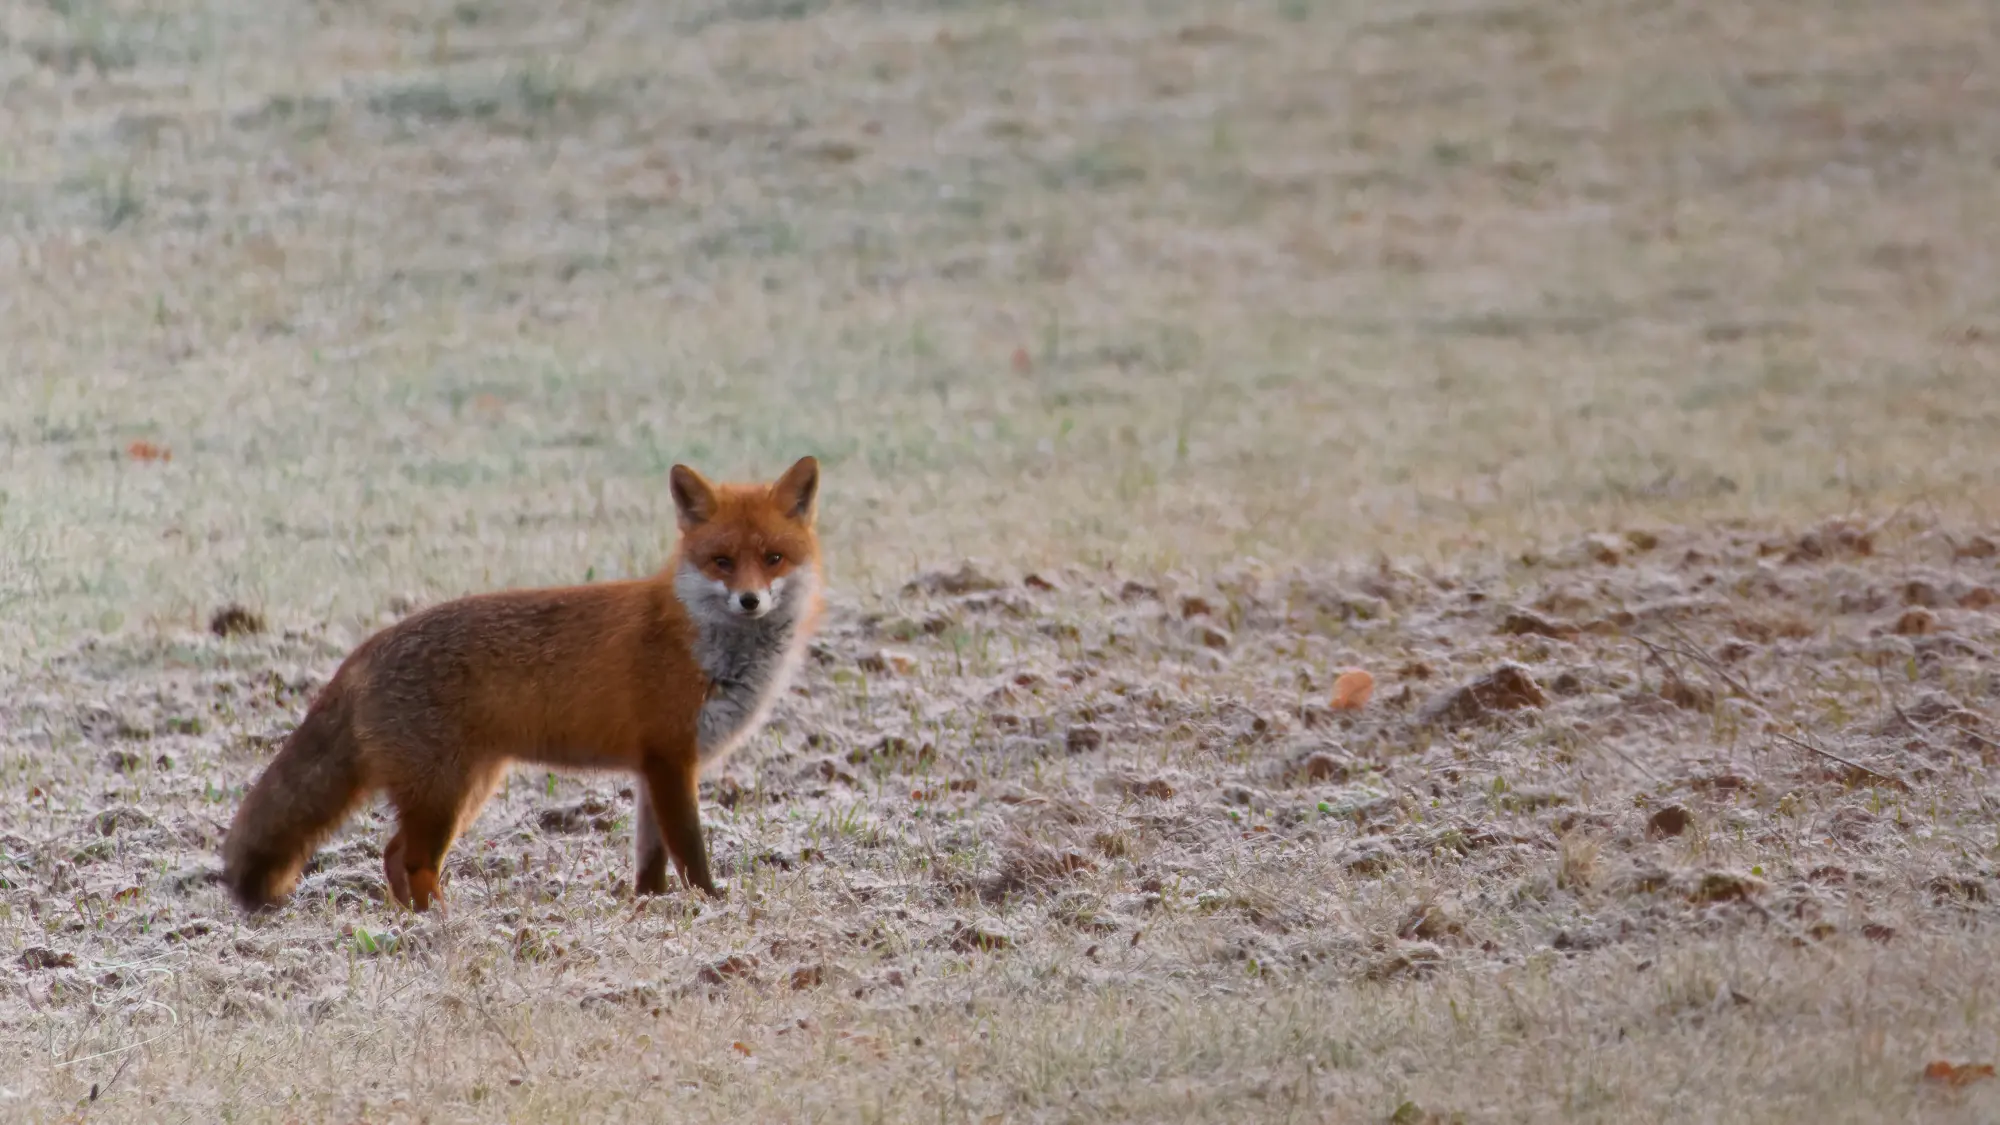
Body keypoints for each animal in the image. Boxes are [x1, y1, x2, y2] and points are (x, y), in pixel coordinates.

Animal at [222, 456, 824, 914]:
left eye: (773, 558)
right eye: (721, 561)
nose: (750, 600)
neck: (706, 647)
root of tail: (369, 645)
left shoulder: (655, 766)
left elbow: (651, 857)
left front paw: (649, 908)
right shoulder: (672, 758)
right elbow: (692, 851)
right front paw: (710, 906)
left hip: (466, 788)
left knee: (393, 856)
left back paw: (416, 919)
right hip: (444, 794)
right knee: (409, 859)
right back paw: (441, 925)